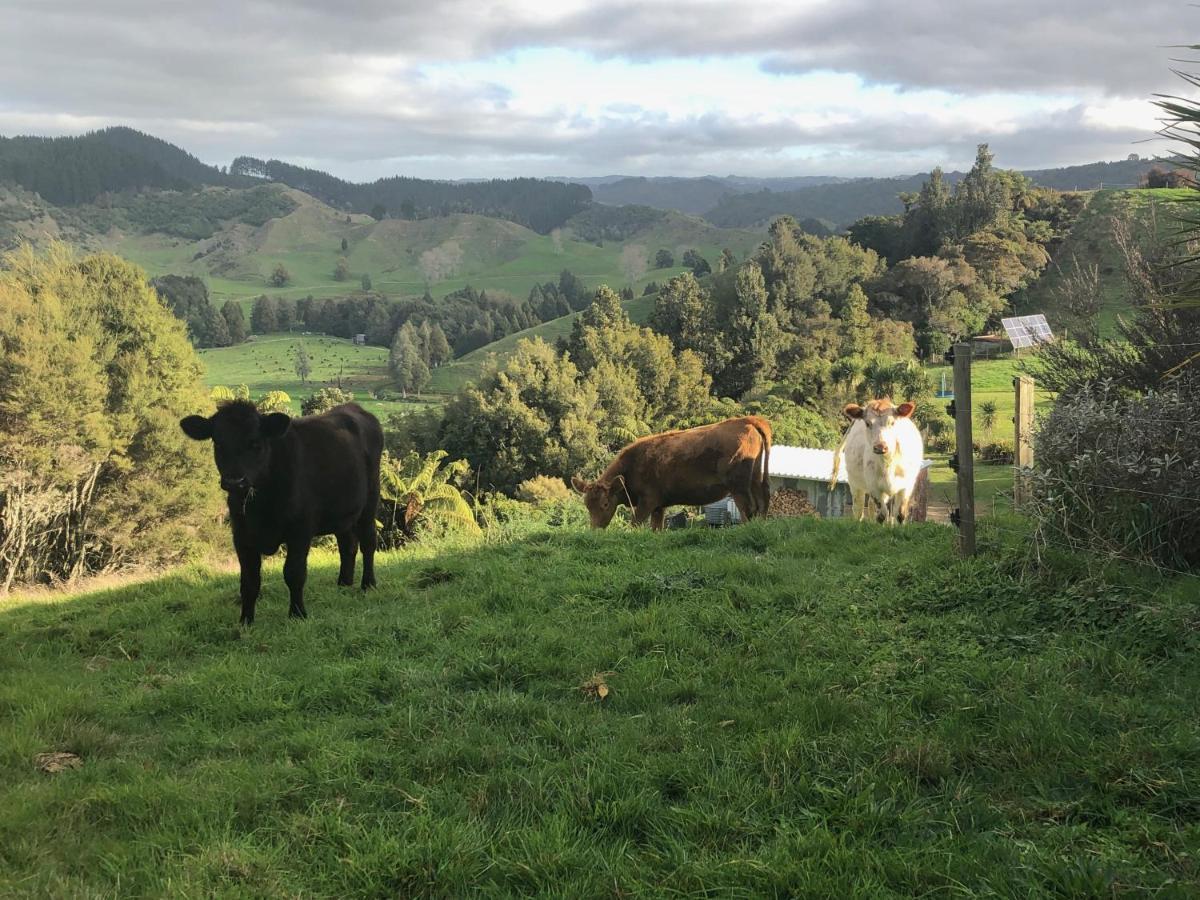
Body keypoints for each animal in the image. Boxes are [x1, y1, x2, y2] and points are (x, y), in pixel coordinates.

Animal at [177, 400, 381, 628]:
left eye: (255, 443)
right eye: (218, 443)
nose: (234, 481)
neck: (261, 504)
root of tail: (354, 407)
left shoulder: (300, 530)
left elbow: (294, 573)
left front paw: (298, 614)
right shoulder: (241, 536)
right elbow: (249, 580)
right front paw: (246, 621)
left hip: (371, 499)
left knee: (368, 542)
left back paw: (368, 585)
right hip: (342, 512)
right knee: (348, 545)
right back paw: (343, 584)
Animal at [568, 420, 768, 532]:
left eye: (605, 504)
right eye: (587, 506)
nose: (595, 531)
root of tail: (749, 420)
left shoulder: (647, 501)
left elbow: (635, 523)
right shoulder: (659, 505)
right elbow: (656, 528)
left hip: (738, 485)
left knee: (748, 509)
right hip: (756, 480)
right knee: (761, 504)